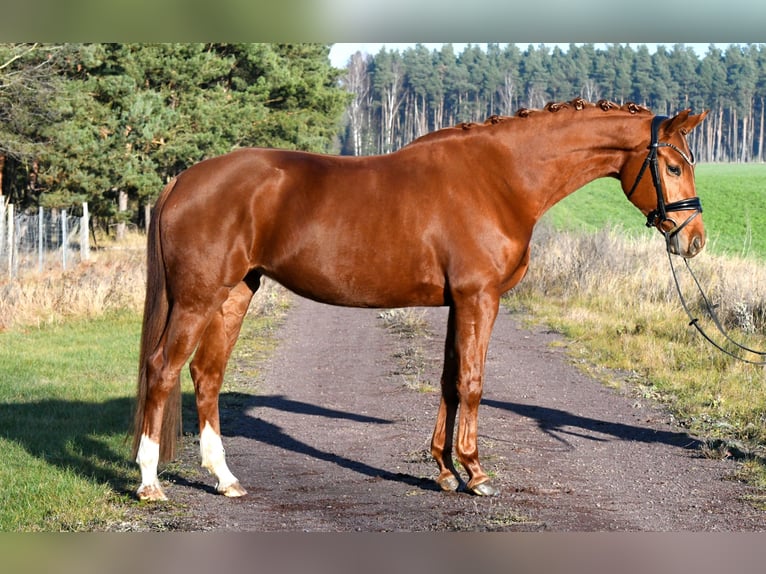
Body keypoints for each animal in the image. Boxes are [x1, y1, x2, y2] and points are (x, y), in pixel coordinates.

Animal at [132, 98, 708, 501]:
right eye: (674, 167)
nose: (694, 240)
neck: (501, 178)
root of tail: (183, 180)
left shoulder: (459, 303)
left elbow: (450, 383)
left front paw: (446, 471)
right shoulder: (480, 298)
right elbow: (473, 384)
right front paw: (476, 473)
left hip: (234, 294)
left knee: (206, 375)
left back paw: (224, 478)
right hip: (197, 298)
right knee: (162, 369)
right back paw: (150, 483)